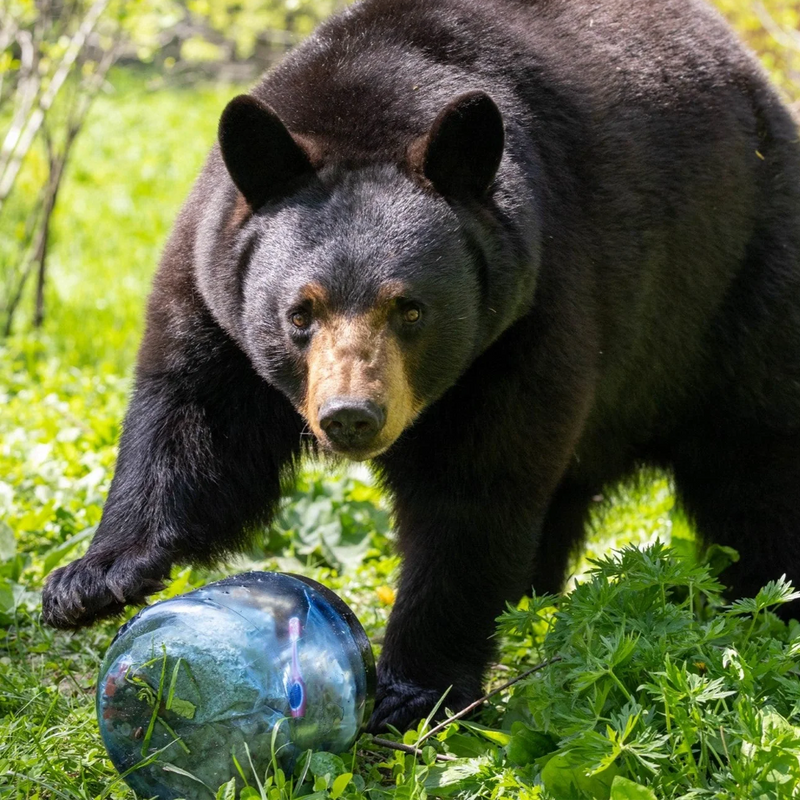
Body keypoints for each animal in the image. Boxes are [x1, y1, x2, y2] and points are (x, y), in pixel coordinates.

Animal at [42, 0, 800, 732]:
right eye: (300, 313)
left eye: (410, 310)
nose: (351, 416)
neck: (375, 93)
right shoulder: (212, 288)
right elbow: (195, 422)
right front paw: (89, 580)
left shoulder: (529, 313)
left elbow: (472, 495)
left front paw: (414, 693)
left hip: (733, 293)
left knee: (756, 468)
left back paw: (762, 602)